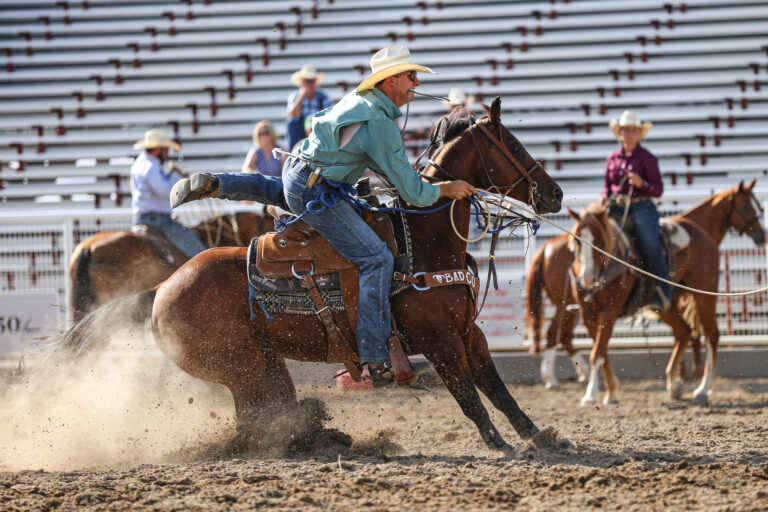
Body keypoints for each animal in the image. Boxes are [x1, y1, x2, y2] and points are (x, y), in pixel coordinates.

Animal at [524, 180, 764, 388]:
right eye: (745, 206)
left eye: (759, 206)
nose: (763, 235)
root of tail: (545, 248)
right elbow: (600, 350)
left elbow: (600, 351)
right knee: (556, 335)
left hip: (699, 295)